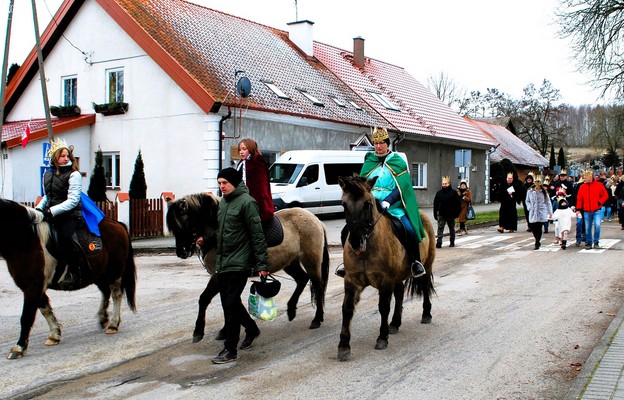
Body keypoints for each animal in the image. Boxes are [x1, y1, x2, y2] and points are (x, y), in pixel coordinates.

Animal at [0, 200, 136, 360]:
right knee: (105, 291)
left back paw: (113, 324)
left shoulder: (33, 286)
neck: (27, 241)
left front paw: (19, 347)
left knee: (116, 295)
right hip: (97, 273)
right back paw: (103, 318)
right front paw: (54, 335)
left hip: (114, 271)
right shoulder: (34, 286)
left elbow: (26, 317)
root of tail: (118, 224)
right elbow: (45, 309)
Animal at [166, 193, 332, 340]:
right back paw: (291, 310)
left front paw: (199, 331)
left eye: (183, 224)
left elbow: (207, 299)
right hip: (291, 262)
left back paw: (317, 319)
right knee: (302, 279)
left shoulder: (218, 276)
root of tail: (316, 220)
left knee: (317, 286)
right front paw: (226, 330)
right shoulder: (223, 278)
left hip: (311, 261)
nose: (182, 252)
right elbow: (224, 302)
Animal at [336, 174, 434, 360]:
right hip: (398, 275)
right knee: (400, 293)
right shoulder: (351, 280)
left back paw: (426, 314)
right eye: (344, 204)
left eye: (368, 203)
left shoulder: (385, 280)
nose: (356, 242)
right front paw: (344, 346)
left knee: (425, 287)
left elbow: (383, 307)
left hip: (427, 264)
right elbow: (347, 308)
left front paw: (382, 338)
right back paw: (395, 323)